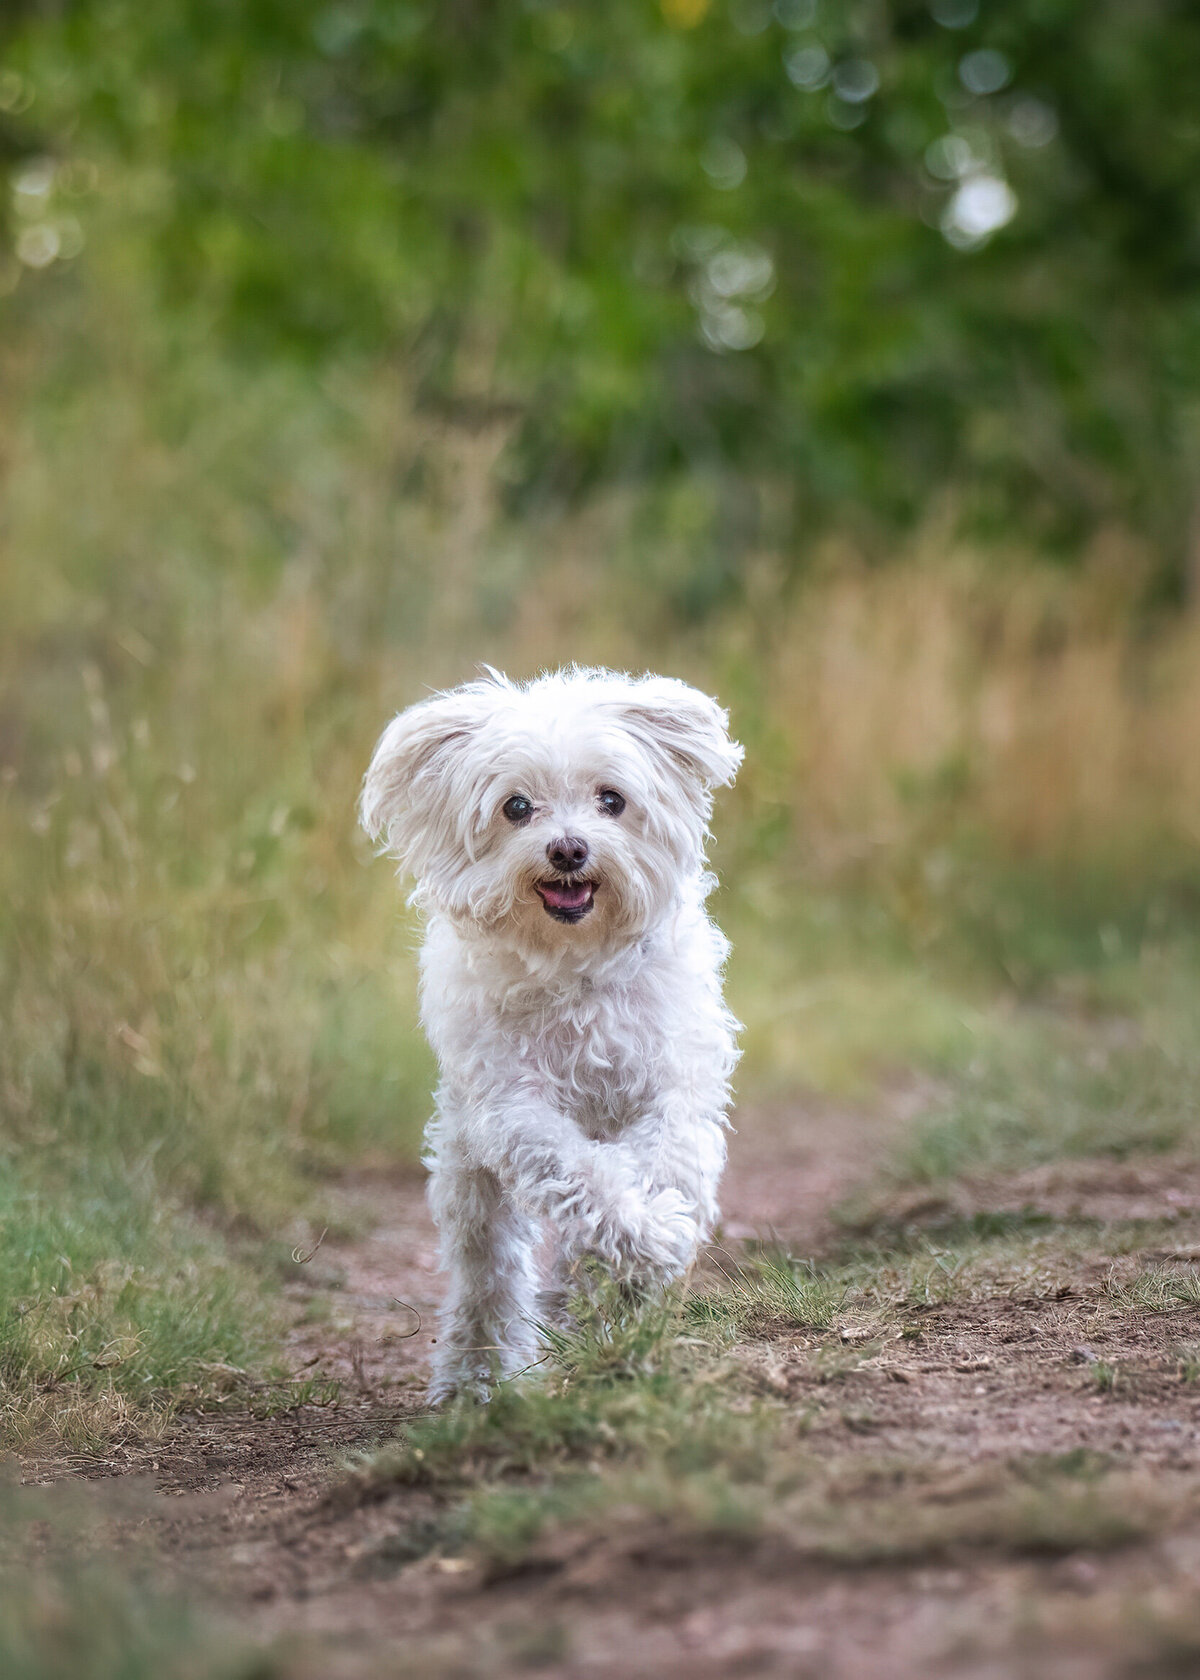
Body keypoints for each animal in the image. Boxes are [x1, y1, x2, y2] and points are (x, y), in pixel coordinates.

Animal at [359, 661, 742, 1397]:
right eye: (516, 807)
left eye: (611, 800)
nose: (568, 848)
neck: (576, 966)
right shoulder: (513, 1107)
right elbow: (583, 1176)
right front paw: (648, 1235)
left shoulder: (672, 1090)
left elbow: (662, 1162)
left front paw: (652, 1244)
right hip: (468, 1176)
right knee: (489, 1276)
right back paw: (475, 1376)